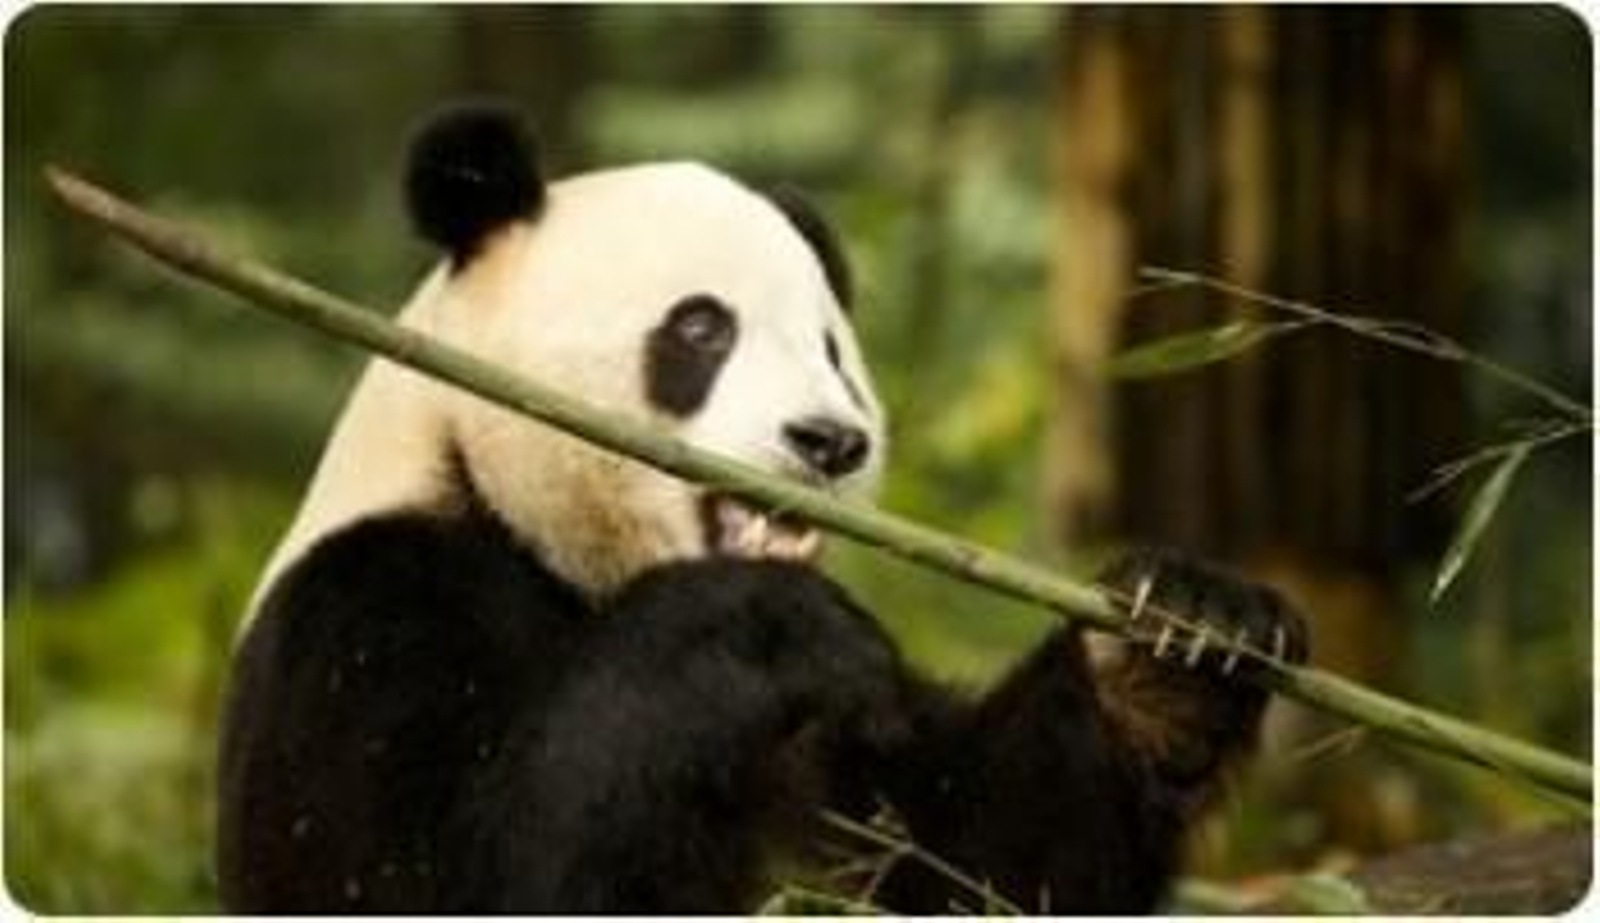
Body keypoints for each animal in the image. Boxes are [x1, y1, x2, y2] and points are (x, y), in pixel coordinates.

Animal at [217, 103, 1308, 914]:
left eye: (831, 349)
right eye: (703, 327)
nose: (830, 440)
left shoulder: (841, 736)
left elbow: (983, 861)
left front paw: (1181, 639)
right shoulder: (369, 611)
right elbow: (432, 878)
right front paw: (759, 625)